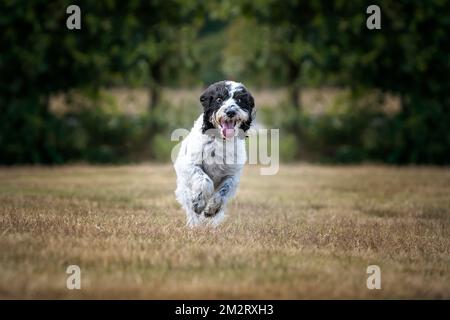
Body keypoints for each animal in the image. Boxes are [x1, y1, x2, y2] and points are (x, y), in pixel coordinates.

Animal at [174, 81, 255, 226]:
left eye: (240, 100)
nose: (230, 111)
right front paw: (199, 203)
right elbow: (205, 181)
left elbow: (224, 191)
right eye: (219, 99)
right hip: (184, 189)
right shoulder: (188, 165)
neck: (220, 140)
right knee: (191, 209)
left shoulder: (233, 175)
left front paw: (212, 208)